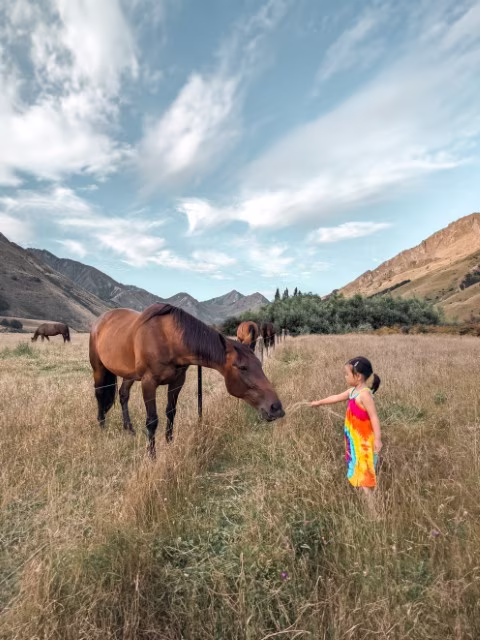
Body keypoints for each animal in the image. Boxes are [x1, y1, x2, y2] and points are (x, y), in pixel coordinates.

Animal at [89, 303, 285, 456]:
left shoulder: (177, 381)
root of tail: (100, 321)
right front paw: (152, 455)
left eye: (259, 364)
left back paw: (129, 429)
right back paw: (102, 427)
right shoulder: (148, 382)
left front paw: (169, 443)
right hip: (99, 368)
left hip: (129, 374)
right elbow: (152, 420)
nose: (276, 408)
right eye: (242, 367)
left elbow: (171, 412)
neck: (167, 338)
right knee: (99, 394)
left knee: (123, 395)